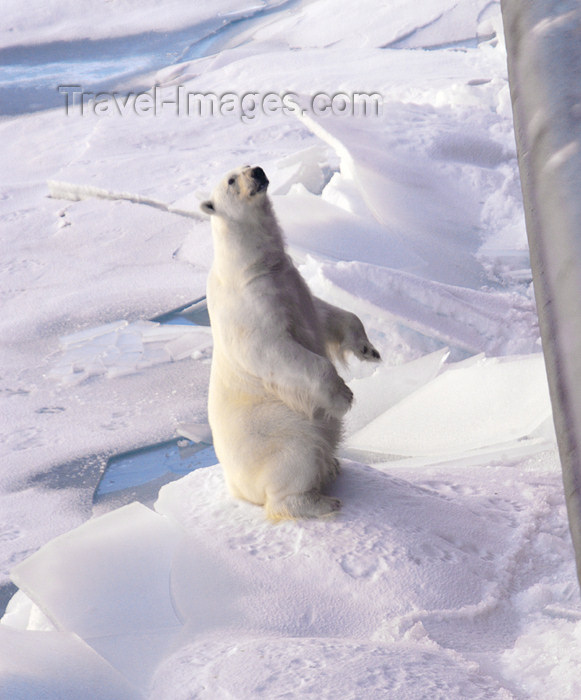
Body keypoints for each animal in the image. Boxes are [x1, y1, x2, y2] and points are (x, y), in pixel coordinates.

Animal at [202, 165, 378, 520]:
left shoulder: (291, 283)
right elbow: (277, 351)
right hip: (278, 432)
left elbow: (327, 315)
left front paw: (369, 350)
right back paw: (321, 501)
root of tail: (239, 489)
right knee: (298, 457)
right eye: (231, 180)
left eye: (249, 164)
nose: (258, 172)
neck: (249, 268)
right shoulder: (252, 308)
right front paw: (344, 395)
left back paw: (333, 466)